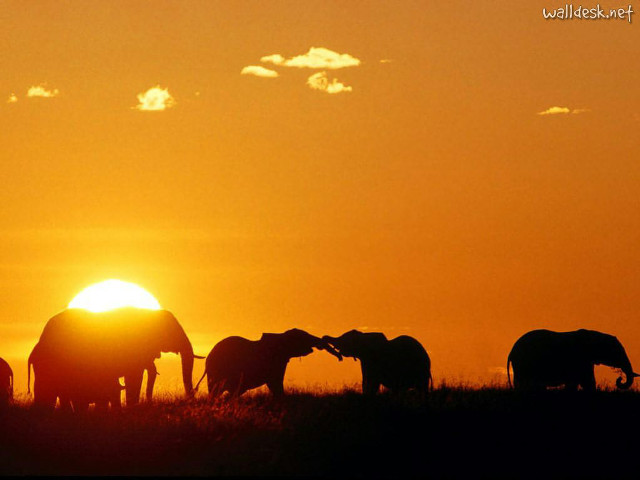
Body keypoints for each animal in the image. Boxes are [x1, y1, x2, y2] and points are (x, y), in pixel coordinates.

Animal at [507, 329, 639, 391]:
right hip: (524, 364)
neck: (596, 335)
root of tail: (511, 352)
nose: (619, 378)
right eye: (618, 352)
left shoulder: (587, 361)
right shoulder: (580, 359)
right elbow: (584, 382)